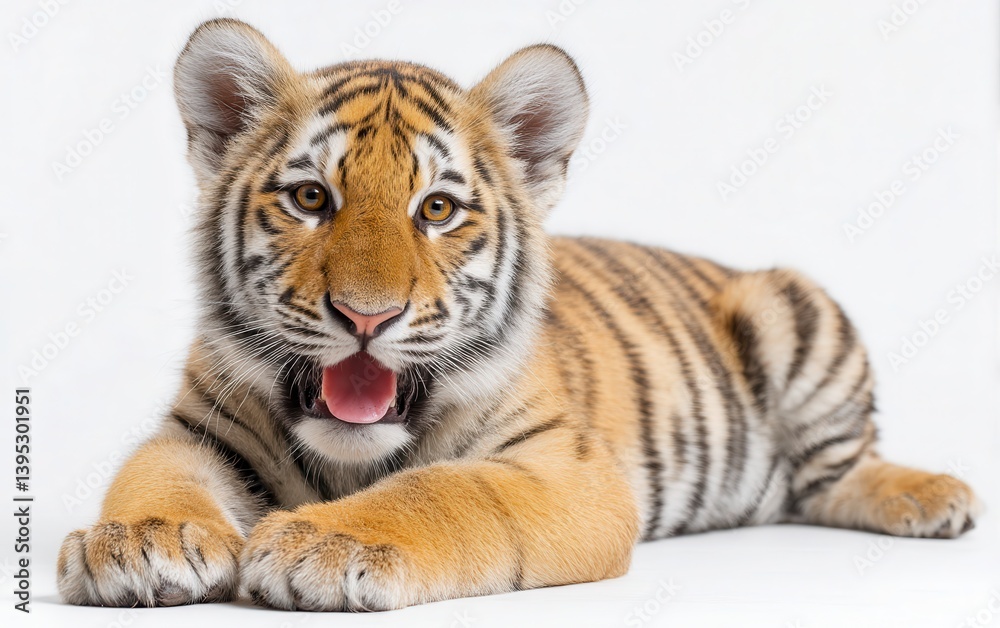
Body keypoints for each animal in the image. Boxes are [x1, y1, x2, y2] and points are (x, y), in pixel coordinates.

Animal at [57, 18, 980, 611]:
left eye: (436, 209)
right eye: (311, 198)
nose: (365, 316)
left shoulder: (565, 467)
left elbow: (444, 491)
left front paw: (325, 543)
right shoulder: (196, 428)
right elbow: (152, 475)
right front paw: (134, 542)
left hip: (793, 310)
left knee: (837, 473)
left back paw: (931, 496)